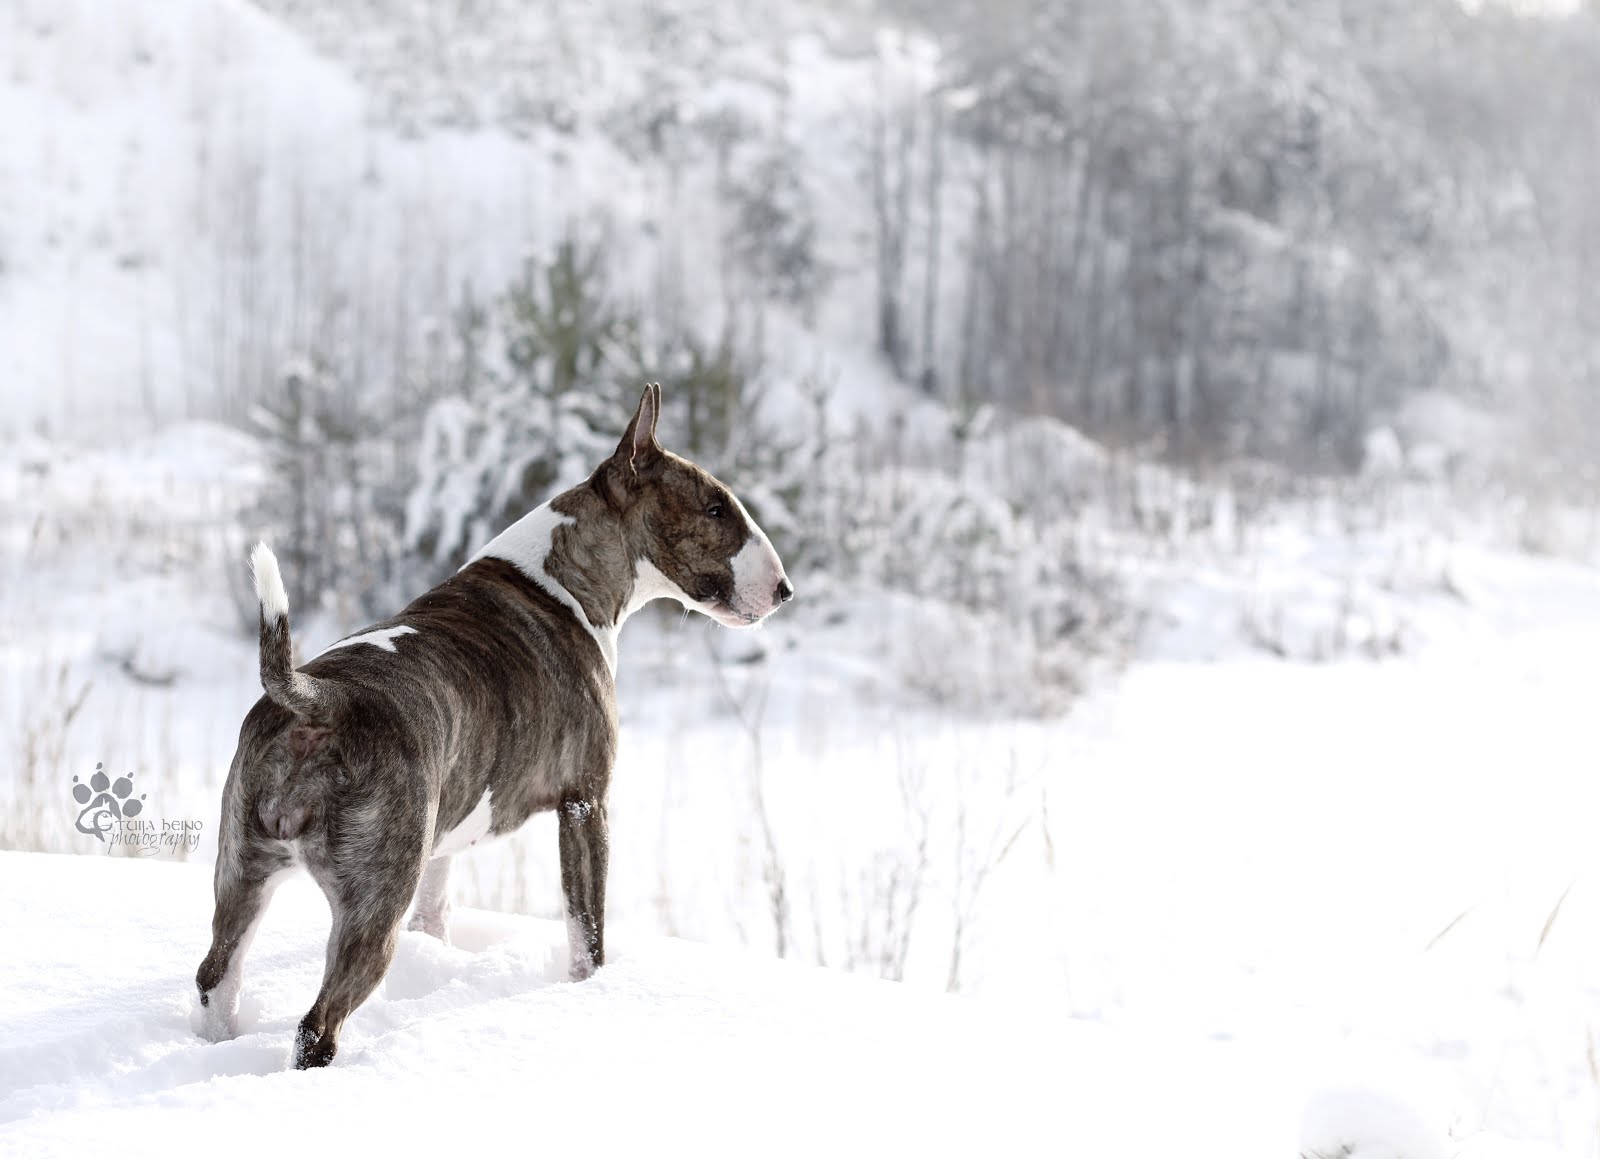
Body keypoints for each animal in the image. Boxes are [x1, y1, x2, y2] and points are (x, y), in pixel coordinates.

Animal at [196, 387, 796, 1069]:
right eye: (716, 507)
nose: (784, 590)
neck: (562, 579)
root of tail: (321, 701)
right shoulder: (585, 802)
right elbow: (587, 930)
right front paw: (590, 993)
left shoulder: (443, 838)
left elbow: (435, 912)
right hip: (373, 899)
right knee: (317, 1024)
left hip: (242, 866)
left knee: (216, 973)